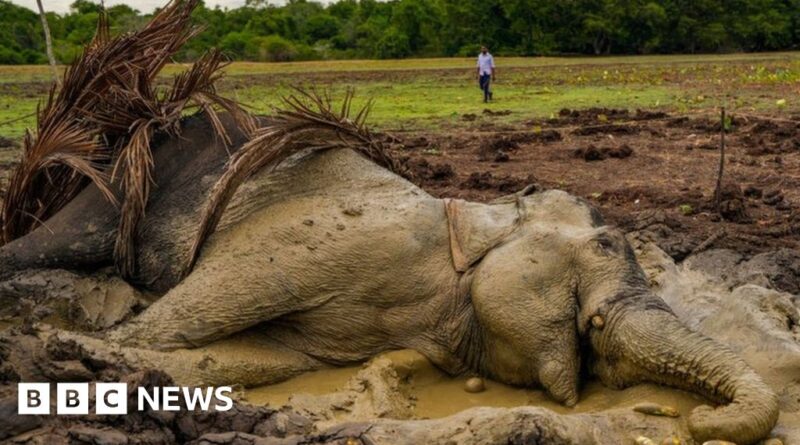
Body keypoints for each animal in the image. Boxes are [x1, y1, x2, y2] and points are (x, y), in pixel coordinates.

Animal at [0, 112, 780, 442]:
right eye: (605, 242)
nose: (698, 422)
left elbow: (261, 359)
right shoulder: (342, 240)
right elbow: (179, 321)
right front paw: (92, 346)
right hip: (114, 186)